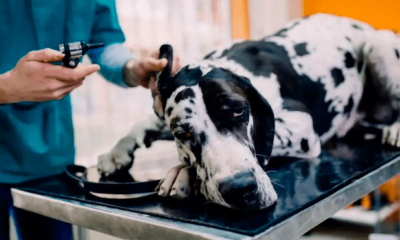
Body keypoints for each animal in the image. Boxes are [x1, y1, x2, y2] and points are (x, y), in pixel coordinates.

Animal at [97, 13, 400, 210]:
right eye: (183, 134)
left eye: (238, 112)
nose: (239, 189)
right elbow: (144, 123)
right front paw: (116, 153)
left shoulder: (301, 125)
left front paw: (182, 172)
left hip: (379, 44)